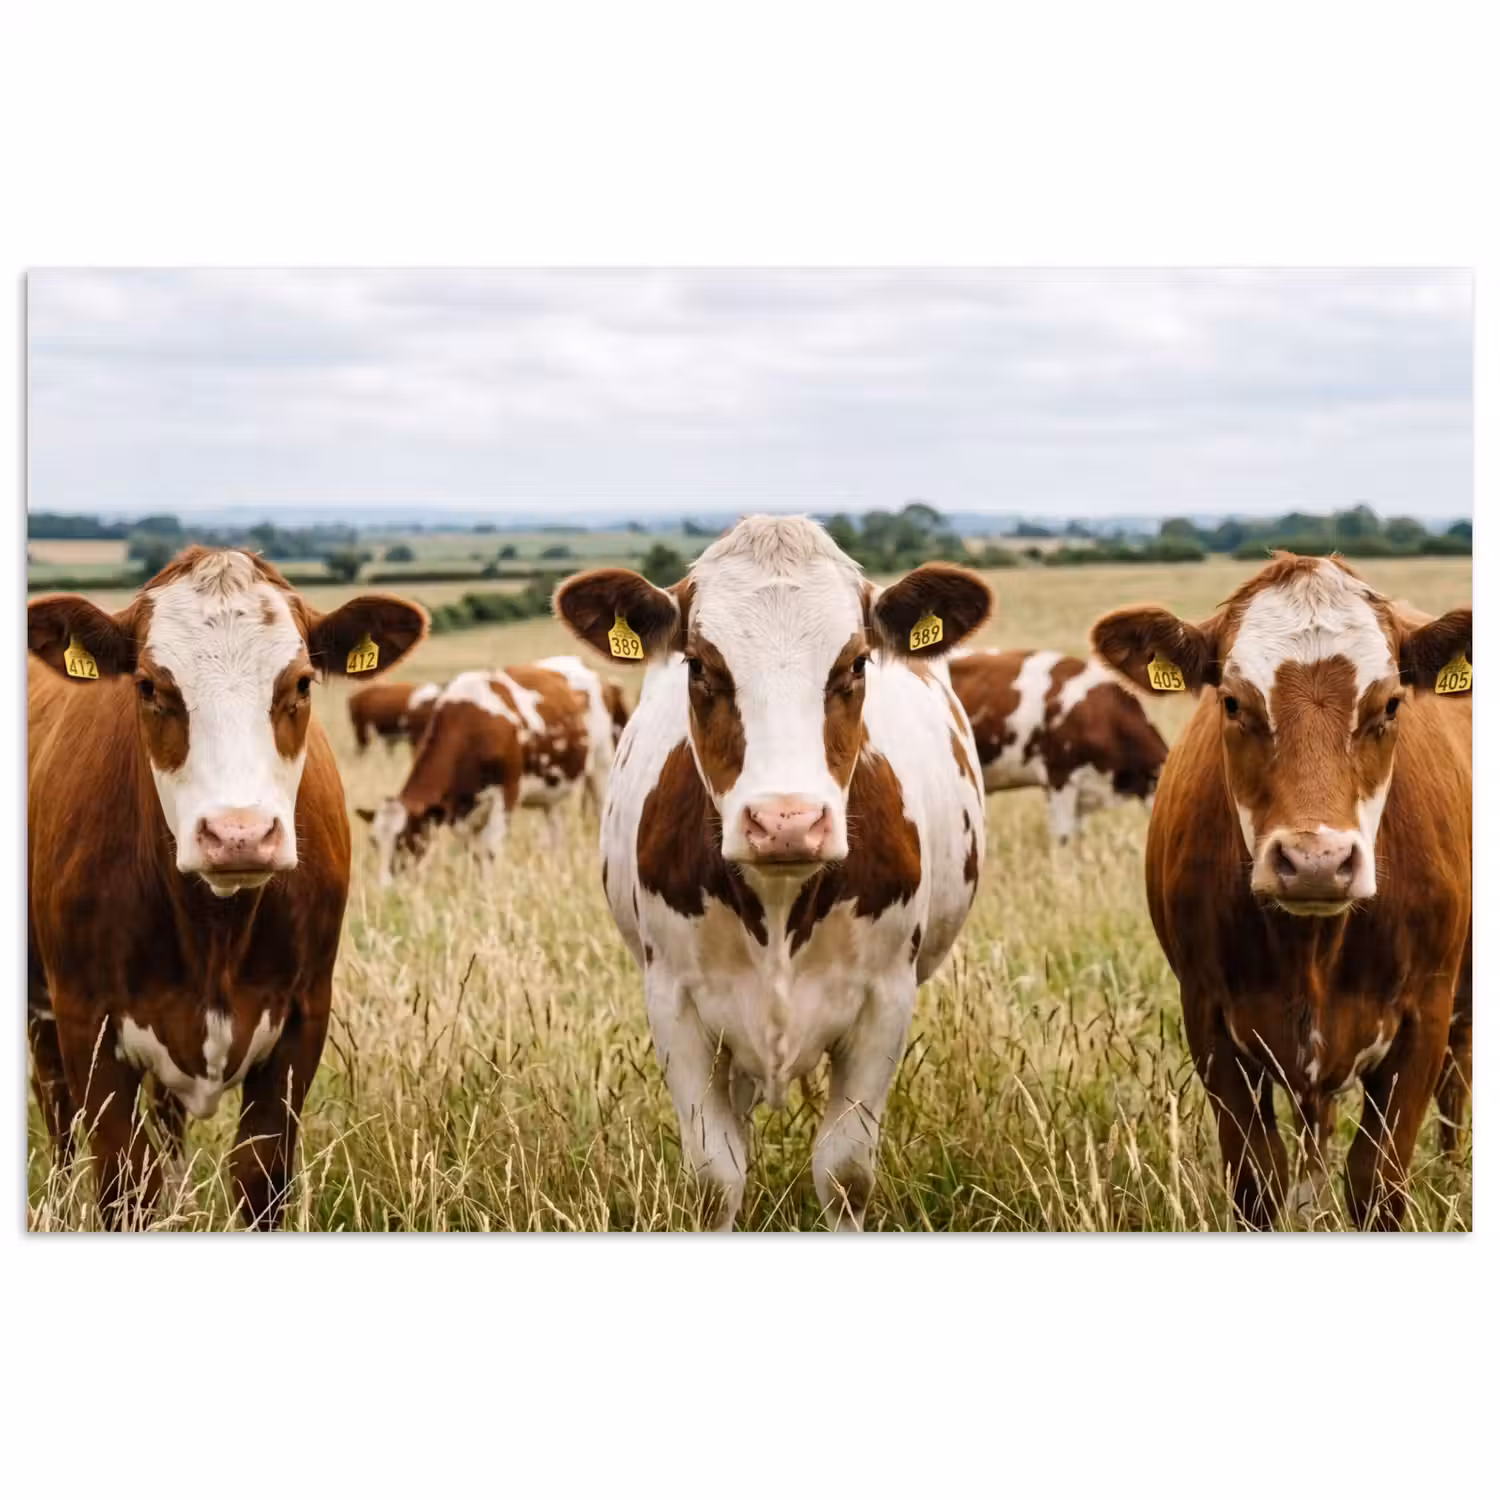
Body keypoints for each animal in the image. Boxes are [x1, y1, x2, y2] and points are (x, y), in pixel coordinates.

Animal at [27, 546, 427, 1228]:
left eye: (300, 683)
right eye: (149, 686)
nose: (239, 835)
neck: (213, 928)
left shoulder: (303, 1019)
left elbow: (259, 1175)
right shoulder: (87, 1023)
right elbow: (122, 1182)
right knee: (56, 1112)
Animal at [358, 664, 590, 884]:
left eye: (405, 839)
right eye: (373, 841)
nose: (385, 888)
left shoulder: (507, 793)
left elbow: (491, 849)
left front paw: (493, 889)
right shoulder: (460, 812)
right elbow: (476, 853)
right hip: (552, 795)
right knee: (556, 833)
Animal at [554, 514, 992, 1230]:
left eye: (856, 663)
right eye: (700, 666)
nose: (787, 821)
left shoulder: (886, 1000)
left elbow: (844, 1172)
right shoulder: (674, 1003)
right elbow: (716, 1177)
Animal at [1091, 553, 1471, 1229]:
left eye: (1391, 704)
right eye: (1232, 702)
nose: (1317, 862)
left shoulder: (1424, 1017)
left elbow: (1377, 1182)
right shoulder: (1209, 1019)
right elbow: (1257, 1179)